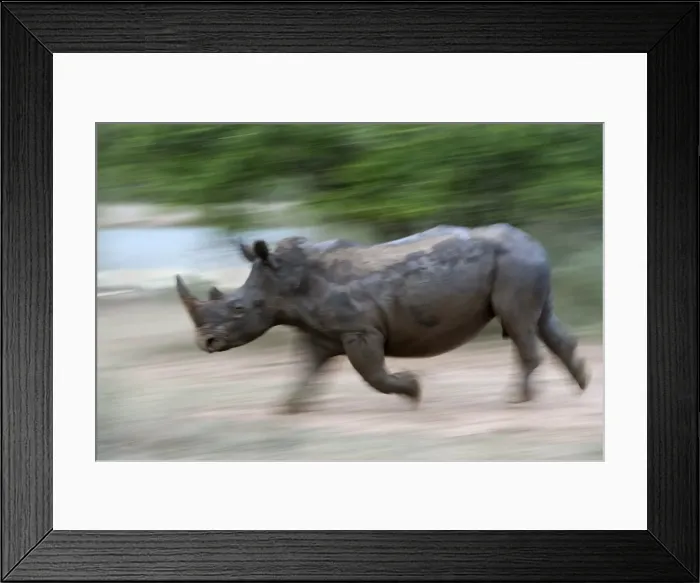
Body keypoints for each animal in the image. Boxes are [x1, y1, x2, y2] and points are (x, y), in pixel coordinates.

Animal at [175, 223, 590, 413]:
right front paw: (288, 408)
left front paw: (413, 391)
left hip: (515, 265)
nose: (205, 343)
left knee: (520, 325)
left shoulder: (359, 329)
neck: (285, 282)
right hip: (523, 263)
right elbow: (304, 368)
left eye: (239, 309)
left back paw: (517, 400)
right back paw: (582, 385)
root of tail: (534, 242)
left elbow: (372, 374)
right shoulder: (319, 332)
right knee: (541, 321)